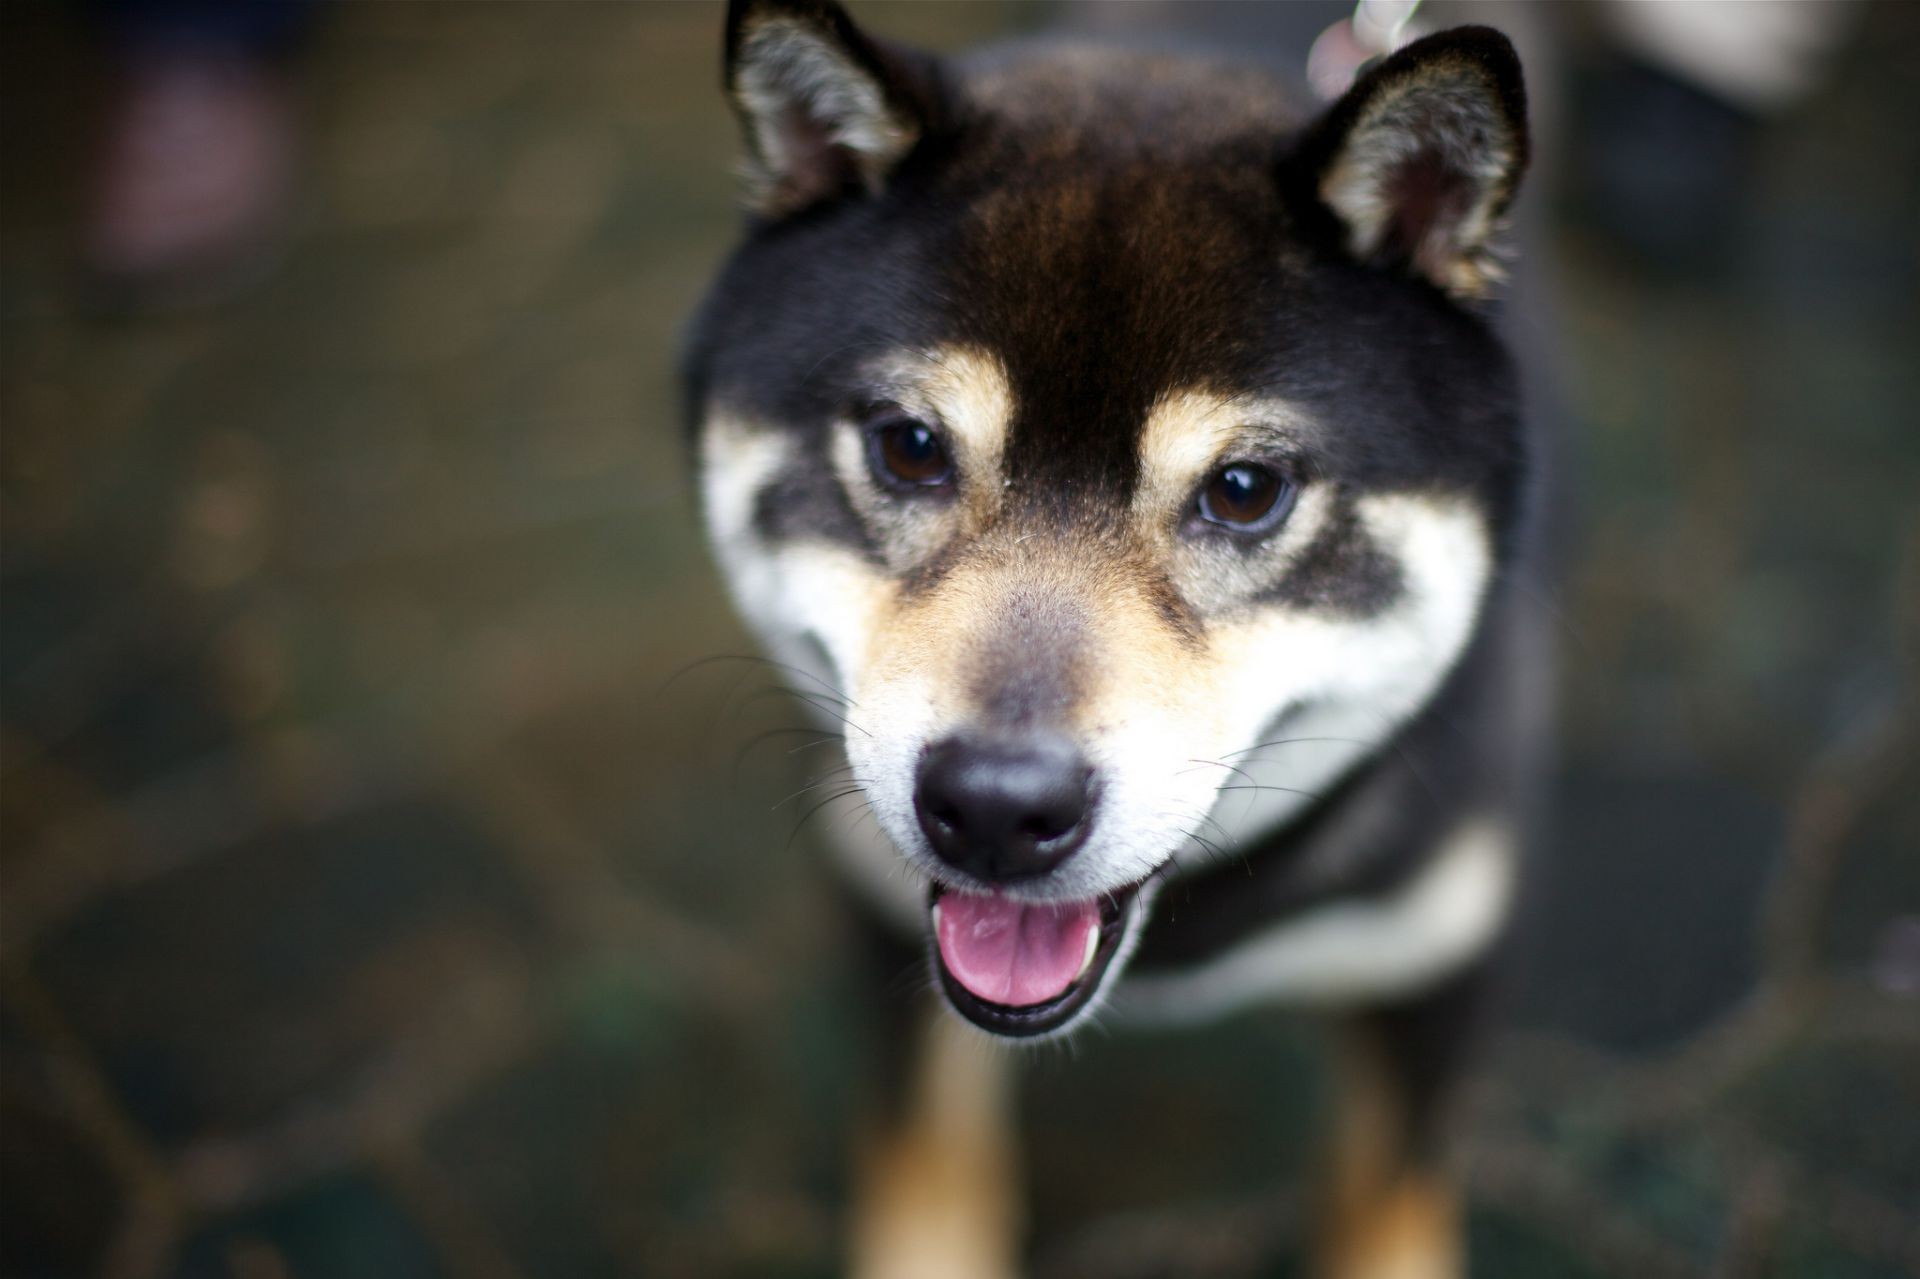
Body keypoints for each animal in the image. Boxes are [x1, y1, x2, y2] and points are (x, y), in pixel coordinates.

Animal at [687, 4, 1543, 1267]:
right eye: (910, 446)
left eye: (1244, 489)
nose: (997, 807)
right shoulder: (882, 929)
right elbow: (923, 1176)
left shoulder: (1434, 968)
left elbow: (1385, 1207)